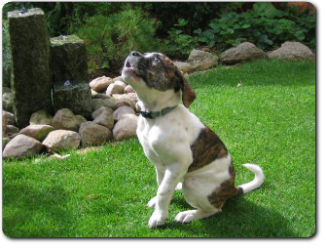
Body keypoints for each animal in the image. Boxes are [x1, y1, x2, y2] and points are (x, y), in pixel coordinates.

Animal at [121, 51, 264, 228]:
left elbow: (163, 191)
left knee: (216, 209)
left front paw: (159, 217)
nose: (133, 52)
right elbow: (161, 185)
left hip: (193, 184)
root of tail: (231, 189)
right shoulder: (160, 165)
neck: (157, 117)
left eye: (156, 59)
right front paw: (159, 204)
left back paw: (190, 214)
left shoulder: (178, 163)